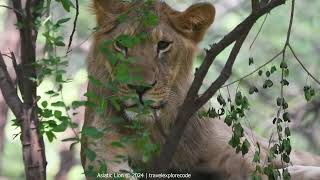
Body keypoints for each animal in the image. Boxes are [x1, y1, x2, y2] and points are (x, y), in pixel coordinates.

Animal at [81, 0, 320, 179]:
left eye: (163, 45)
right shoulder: (103, 153)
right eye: (121, 44)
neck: (152, 130)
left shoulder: (243, 160)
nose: (140, 88)